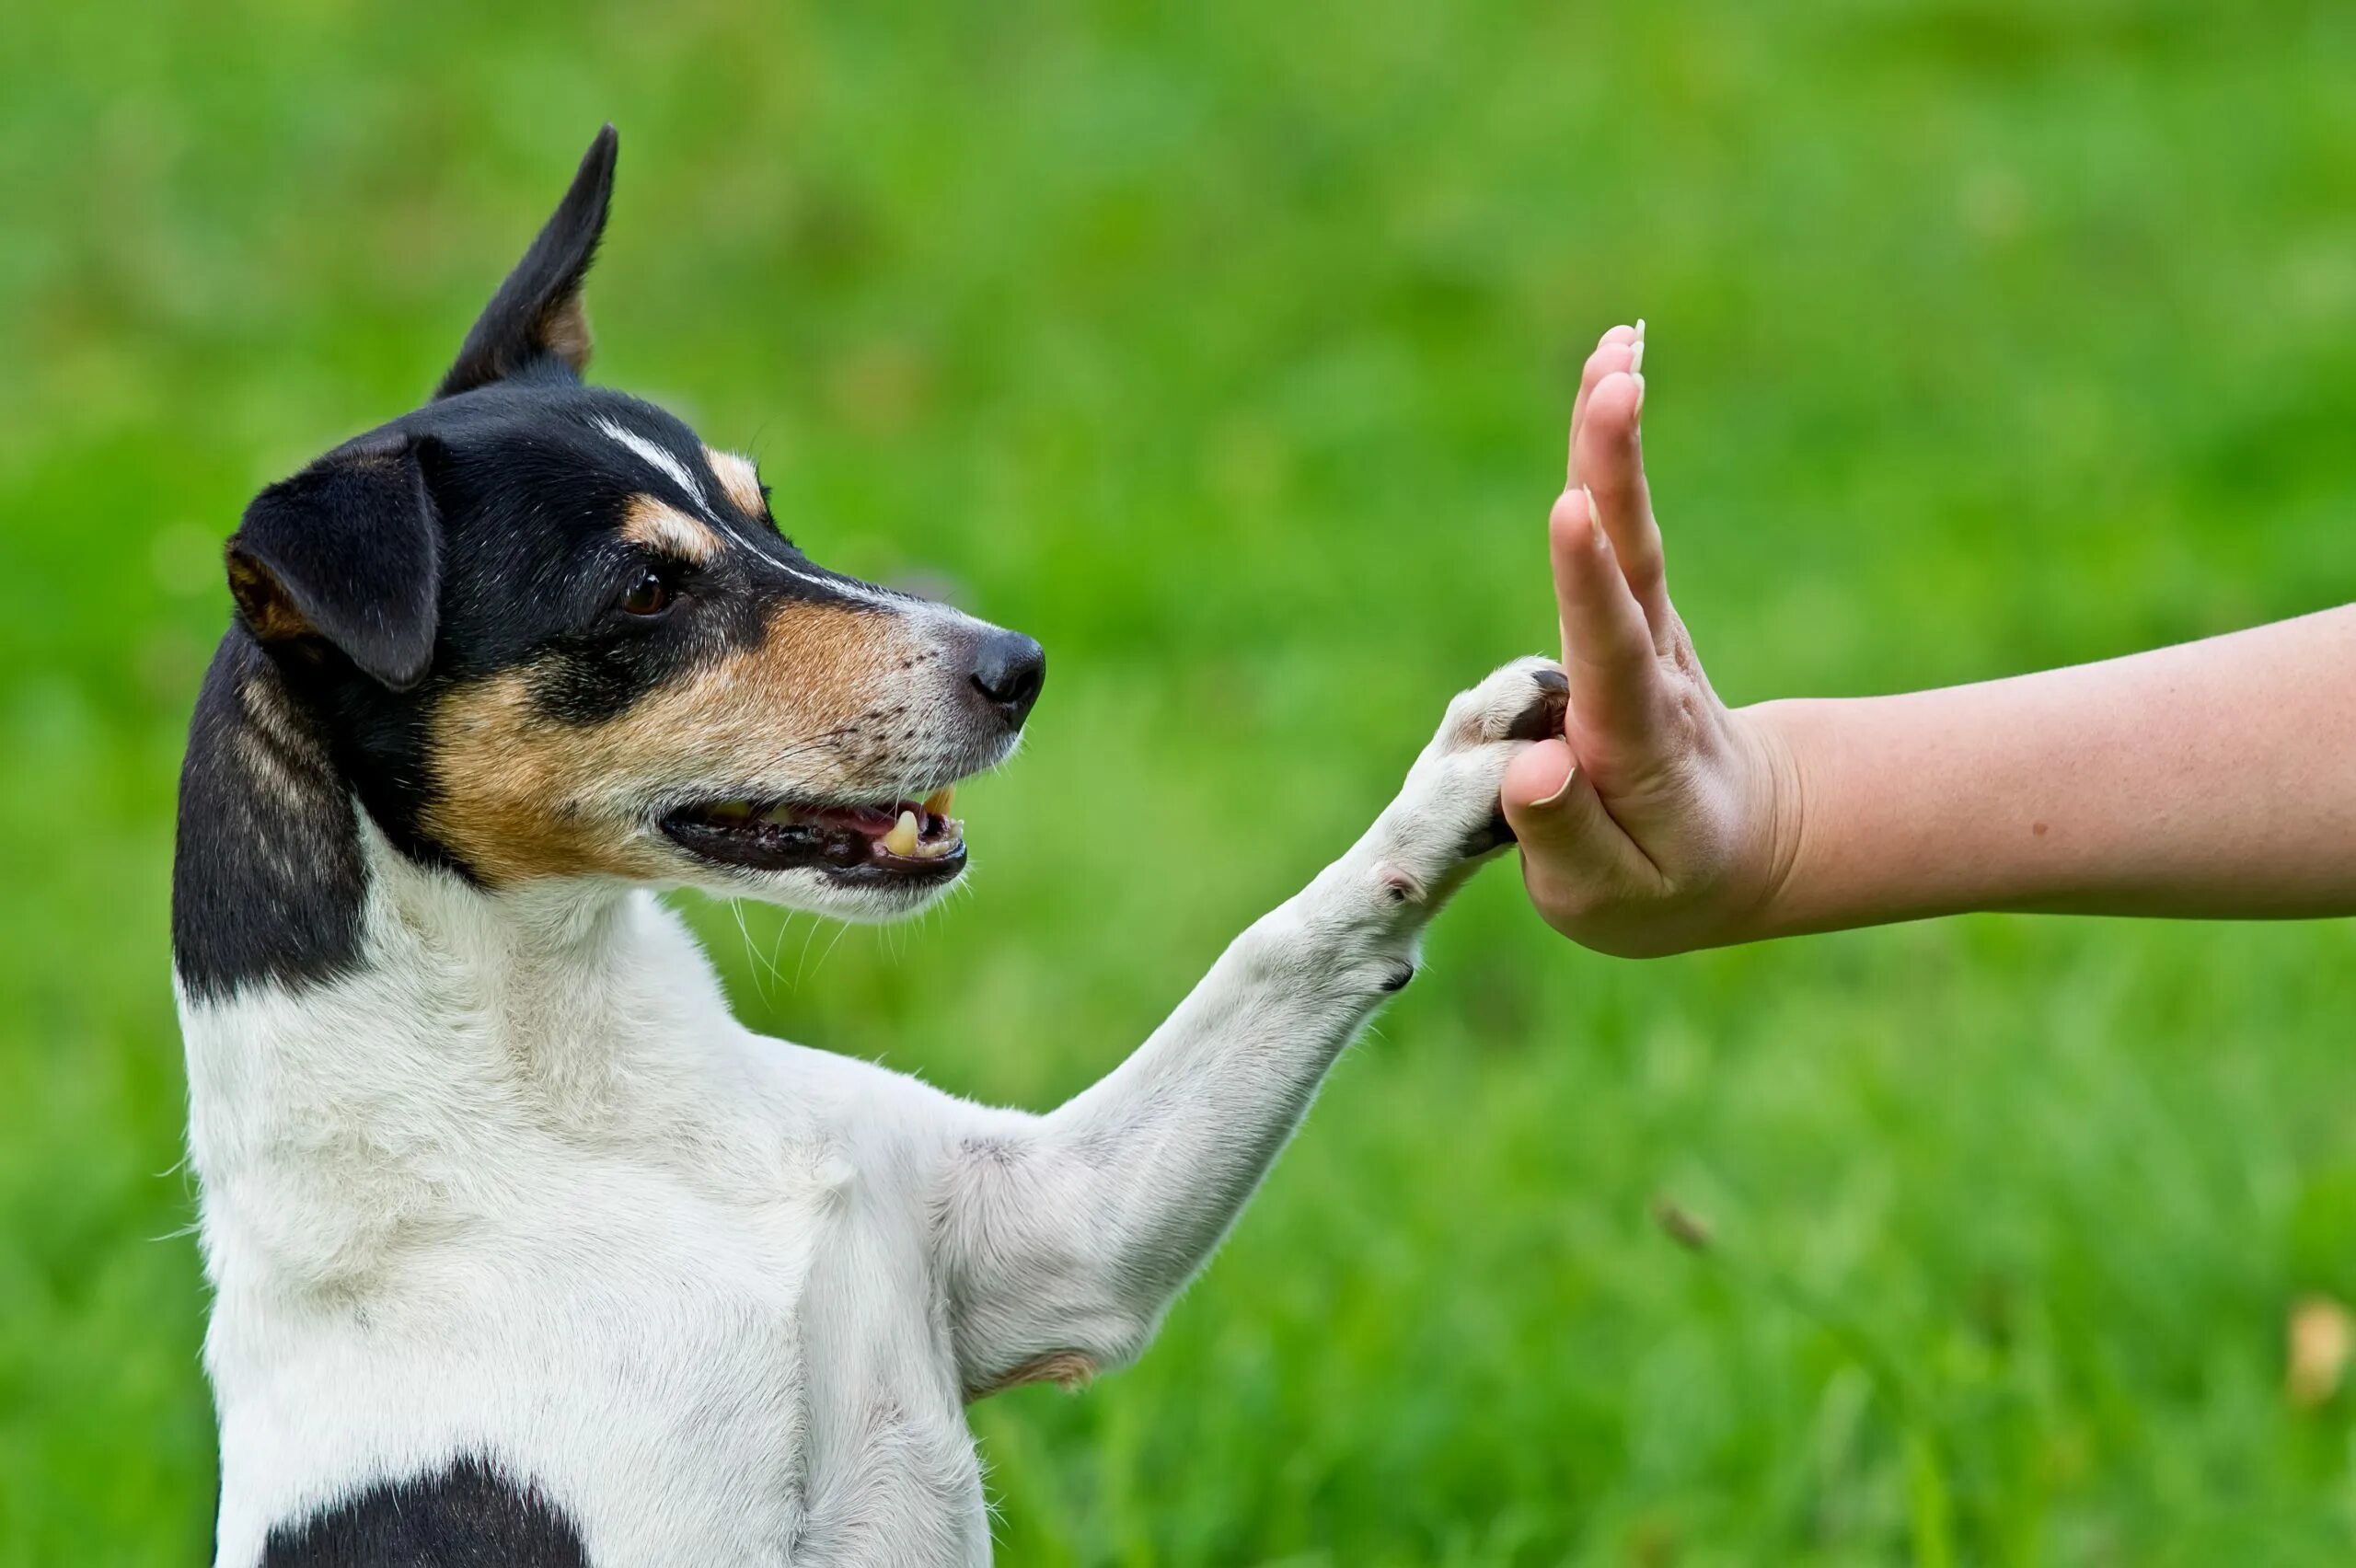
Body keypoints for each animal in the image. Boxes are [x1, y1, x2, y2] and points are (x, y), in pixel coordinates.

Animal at [170, 128, 1564, 1553]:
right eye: (647, 589)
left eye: (763, 511)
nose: (1019, 667)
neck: (584, 1105)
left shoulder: (1062, 1236)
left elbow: (1280, 947)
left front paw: (1469, 772)